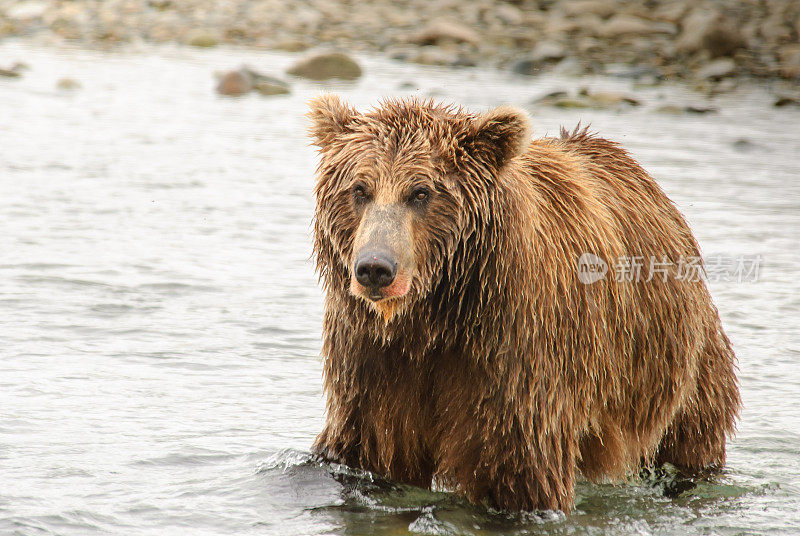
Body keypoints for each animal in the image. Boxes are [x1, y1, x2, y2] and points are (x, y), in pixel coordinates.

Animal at [304, 94, 736, 512]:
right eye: (360, 189)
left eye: (421, 192)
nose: (375, 268)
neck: (434, 317)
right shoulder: (372, 365)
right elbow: (365, 452)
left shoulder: (514, 360)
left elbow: (521, 472)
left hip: (674, 367)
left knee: (691, 441)